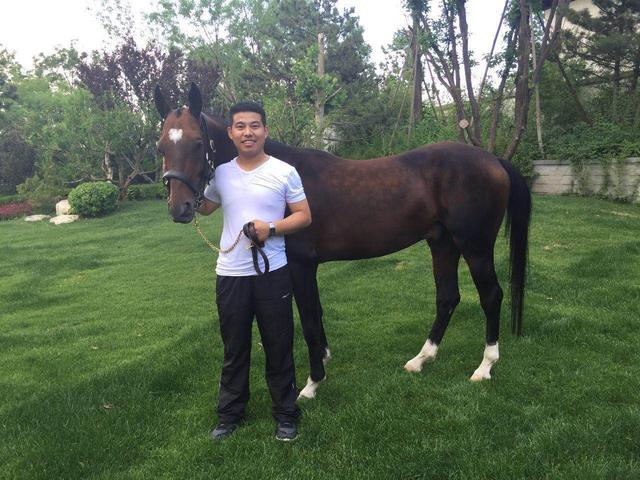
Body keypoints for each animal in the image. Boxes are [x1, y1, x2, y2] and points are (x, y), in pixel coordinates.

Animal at [154, 83, 531, 399]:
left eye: (197, 143)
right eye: (161, 146)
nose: (179, 207)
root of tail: (493, 159)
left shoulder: (301, 266)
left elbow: (308, 320)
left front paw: (311, 384)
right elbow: (317, 314)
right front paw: (324, 360)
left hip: (475, 246)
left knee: (491, 296)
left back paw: (485, 367)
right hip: (442, 243)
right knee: (447, 298)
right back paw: (421, 359)